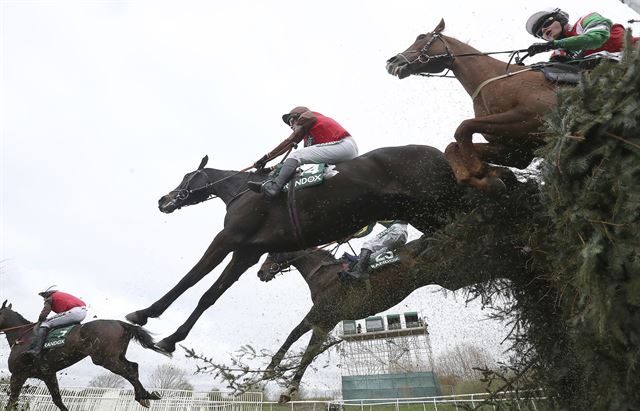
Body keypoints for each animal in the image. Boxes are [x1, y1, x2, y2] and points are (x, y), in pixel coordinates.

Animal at [0, 300, 165, 410]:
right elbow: (58, 400)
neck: (23, 337)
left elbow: (12, 401)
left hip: (105, 359)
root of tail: (121, 323)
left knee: (129, 372)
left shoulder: (18, 374)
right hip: (117, 356)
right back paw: (146, 395)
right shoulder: (48, 374)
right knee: (133, 367)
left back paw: (143, 396)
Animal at [126, 145, 470, 354]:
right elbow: (209, 296)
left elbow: (189, 279)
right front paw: (171, 339)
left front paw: (144, 315)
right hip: (431, 215)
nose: (164, 200)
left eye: (188, 176)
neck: (243, 192)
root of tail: (441, 154)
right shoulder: (246, 253)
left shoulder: (227, 239)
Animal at [384, 19, 560, 193]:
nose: (392, 62)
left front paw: (486, 170)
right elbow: (452, 147)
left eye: (421, 37)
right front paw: (492, 177)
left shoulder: (533, 116)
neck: (497, 79)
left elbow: (463, 127)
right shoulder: (518, 149)